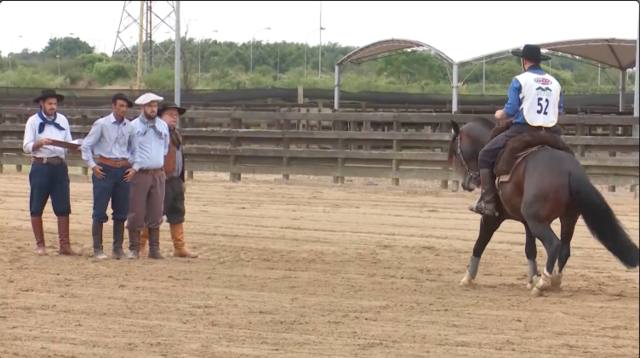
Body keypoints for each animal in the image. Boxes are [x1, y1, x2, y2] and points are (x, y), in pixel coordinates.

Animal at [450, 119, 640, 296]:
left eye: (457, 152)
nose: (466, 183)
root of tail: (569, 170)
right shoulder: (526, 223)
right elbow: (530, 250)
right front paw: (532, 278)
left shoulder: (493, 217)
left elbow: (480, 243)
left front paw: (468, 277)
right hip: (567, 219)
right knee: (565, 249)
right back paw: (555, 280)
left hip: (538, 222)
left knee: (554, 244)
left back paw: (544, 282)